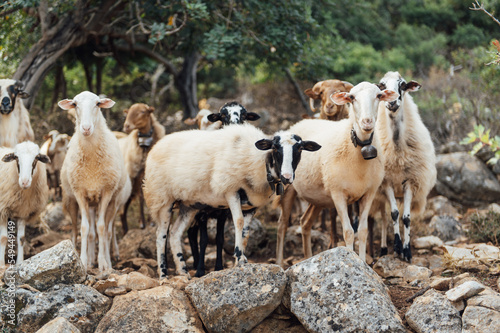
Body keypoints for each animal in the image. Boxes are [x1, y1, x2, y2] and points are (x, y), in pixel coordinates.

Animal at [59, 89, 129, 272]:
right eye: (75, 104)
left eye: (97, 104)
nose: (86, 128)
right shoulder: (79, 193)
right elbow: (85, 228)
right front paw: (83, 261)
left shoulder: (106, 192)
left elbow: (101, 228)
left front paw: (103, 263)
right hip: (74, 200)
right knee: (78, 231)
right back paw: (84, 257)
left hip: (112, 202)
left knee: (107, 231)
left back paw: (107, 261)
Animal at [117, 102, 165, 232]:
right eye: (128, 112)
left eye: (143, 112)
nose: (126, 126)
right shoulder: (136, 176)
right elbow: (142, 197)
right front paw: (142, 223)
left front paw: (151, 221)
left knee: (122, 213)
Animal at [143, 122, 320, 278]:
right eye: (275, 147)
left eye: (300, 148)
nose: (287, 177)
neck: (259, 160)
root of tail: (157, 145)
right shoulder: (230, 190)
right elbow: (238, 222)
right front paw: (239, 258)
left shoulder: (252, 205)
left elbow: (246, 233)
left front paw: (240, 261)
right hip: (162, 198)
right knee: (161, 236)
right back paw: (164, 275)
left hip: (190, 205)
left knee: (175, 233)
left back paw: (183, 271)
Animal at [274, 81, 398, 264]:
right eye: (352, 97)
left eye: (379, 96)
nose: (367, 122)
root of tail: (299, 123)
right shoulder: (338, 194)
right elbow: (348, 232)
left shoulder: (369, 193)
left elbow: (362, 231)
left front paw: (363, 263)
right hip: (288, 186)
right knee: (282, 225)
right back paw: (279, 262)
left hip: (318, 196)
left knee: (305, 222)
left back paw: (308, 257)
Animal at [372, 71, 438, 260]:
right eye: (382, 85)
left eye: (402, 85)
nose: (392, 102)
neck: (397, 150)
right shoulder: (386, 182)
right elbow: (394, 214)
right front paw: (397, 247)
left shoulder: (410, 181)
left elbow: (406, 217)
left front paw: (407, 251)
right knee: (383, 216)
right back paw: (383, 249)